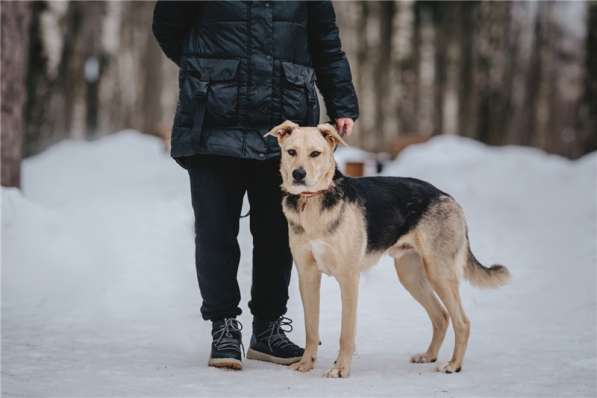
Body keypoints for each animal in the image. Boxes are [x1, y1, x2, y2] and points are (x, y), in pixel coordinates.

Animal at [266, 121, 512, 380]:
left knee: (462, 322)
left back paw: (453, 365)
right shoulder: (308, 276)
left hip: (439, 273)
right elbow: (311, 328)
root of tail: (449, 198)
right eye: (291, 152)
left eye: (315, 153)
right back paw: (429, 356)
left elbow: (346, 333)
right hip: (411, 276)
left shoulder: (348, 278)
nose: (298, 174)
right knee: (441, 316)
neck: (311, 202)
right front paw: (306, 364)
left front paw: (341, 368)